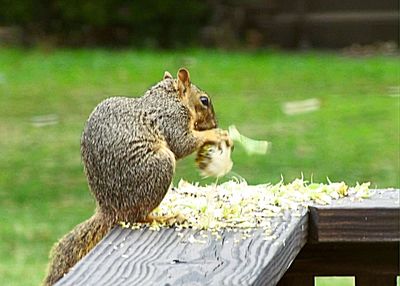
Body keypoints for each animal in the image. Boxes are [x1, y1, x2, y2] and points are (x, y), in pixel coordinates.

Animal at [43, 68, 231, 284]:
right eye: (204, 100)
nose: (214, 123)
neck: (168, 97)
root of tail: (110, 209)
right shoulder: (171, 119)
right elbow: (182, 143)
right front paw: (215, 134)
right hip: (160, 166)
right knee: (138, 217)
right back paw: (165, 218)